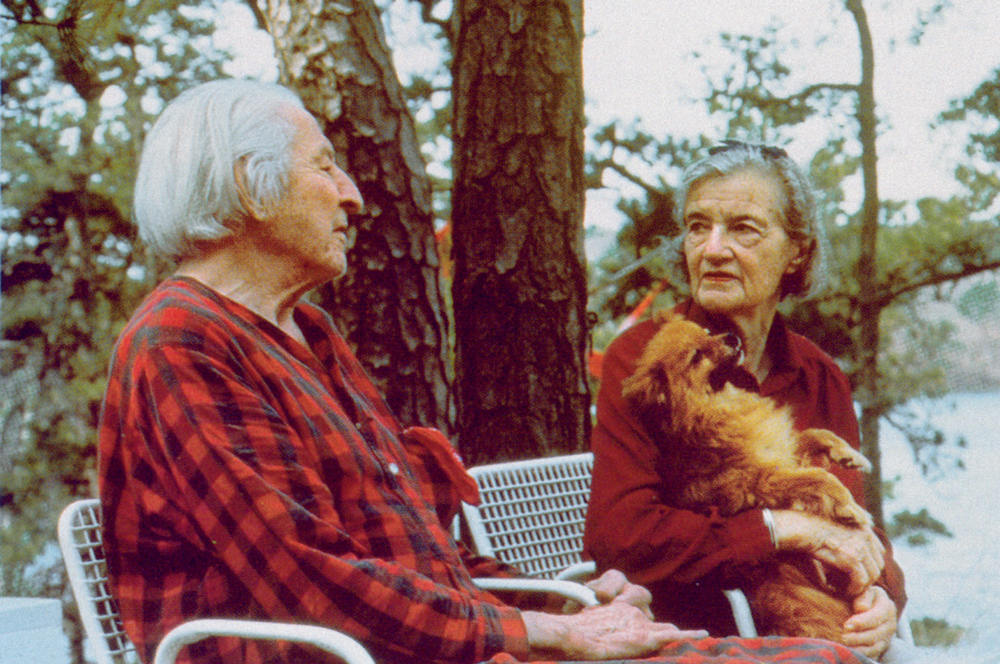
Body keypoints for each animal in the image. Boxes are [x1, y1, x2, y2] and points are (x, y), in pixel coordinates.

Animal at [620, 312, 880, 644]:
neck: (721, 405)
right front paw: (850, 508)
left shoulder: (782, 453)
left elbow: (813, 435)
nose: (731, 337)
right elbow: (818, 479)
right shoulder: (762, 479)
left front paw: (848, 454)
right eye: (697, 356)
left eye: (707, 331)